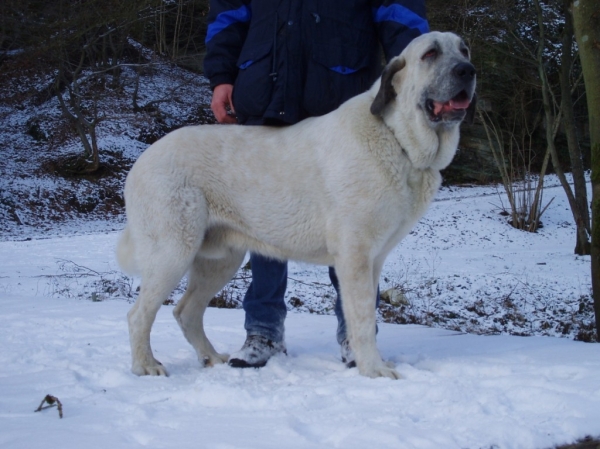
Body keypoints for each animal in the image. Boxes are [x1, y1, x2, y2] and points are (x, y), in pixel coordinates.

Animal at [116, 30, 474, 378]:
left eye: (464, 50)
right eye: (430, 54)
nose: (467, 71)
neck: (397, 138)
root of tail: (142, 160)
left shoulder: (374, 258)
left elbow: (366, 318)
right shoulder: (355, 255)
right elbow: (361, 320)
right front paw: (374, 370)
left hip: (220, 260)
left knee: (185, 311)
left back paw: (212, 358)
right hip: (173, 251)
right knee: (138, 314)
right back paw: (145, 365)